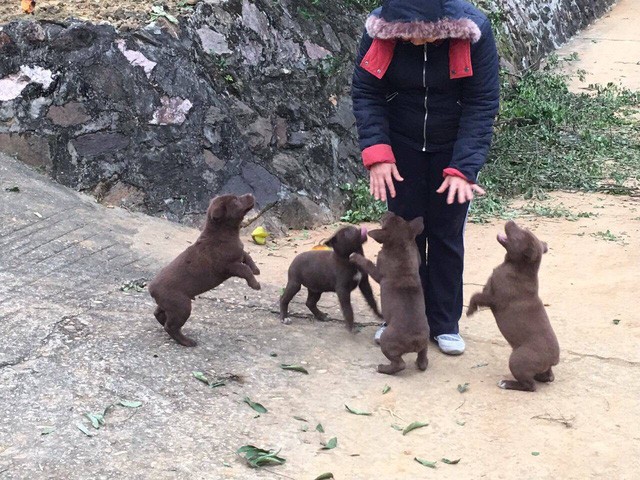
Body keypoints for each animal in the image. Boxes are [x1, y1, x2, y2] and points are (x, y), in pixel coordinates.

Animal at [148, 193, 260, 346]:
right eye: (236, 201)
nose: (250, 194)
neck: (222, 233)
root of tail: (151, 288)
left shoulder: (239, 254)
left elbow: (248, 257)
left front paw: (256, 270)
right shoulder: (229, 266)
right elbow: (245, 269)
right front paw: (255, 284)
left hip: (170, 304)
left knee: (159, 314)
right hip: (181, 306)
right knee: (171, 326)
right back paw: (187, 342)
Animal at [350, 213, 430, 376]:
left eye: (385, 221)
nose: (387, 212)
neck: (402, 246)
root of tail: (416, 340)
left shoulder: (377, 273)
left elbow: (367, 263)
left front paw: (355, 257)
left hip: (387, 342)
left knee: (400, 364)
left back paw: (382, 368)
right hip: (425, 342)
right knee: (423, 357)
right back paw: (421, 363)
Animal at [464, 220, 560, 390]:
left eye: (520, 233)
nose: (511, 221)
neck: (517, 266)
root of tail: (553, 360)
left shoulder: (493, 299)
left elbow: (475, 296)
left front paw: (470, 311)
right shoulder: (489, 292)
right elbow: (477, 294)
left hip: (517, 361)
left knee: (530, 386)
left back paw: (506, 383)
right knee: (547, 376)